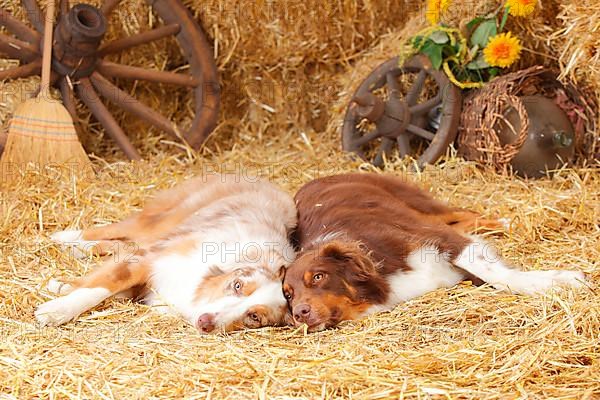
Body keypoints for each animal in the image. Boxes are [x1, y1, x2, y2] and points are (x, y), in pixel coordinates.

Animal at [34, 173, 296, 332]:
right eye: (237, 285)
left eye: (254, 317)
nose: (205, 322)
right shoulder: (151, 259)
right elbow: (101, 287)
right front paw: (56, 310)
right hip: (163, 220)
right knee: (116, 230)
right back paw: (66, 237)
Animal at [284, 173, 588, 332]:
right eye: (288, 295)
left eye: (319, 277)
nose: (299, 313)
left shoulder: (439, 239)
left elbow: (495, 273)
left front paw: (559, 280)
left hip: (420, 205)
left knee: (466, 213)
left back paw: (507, 222)